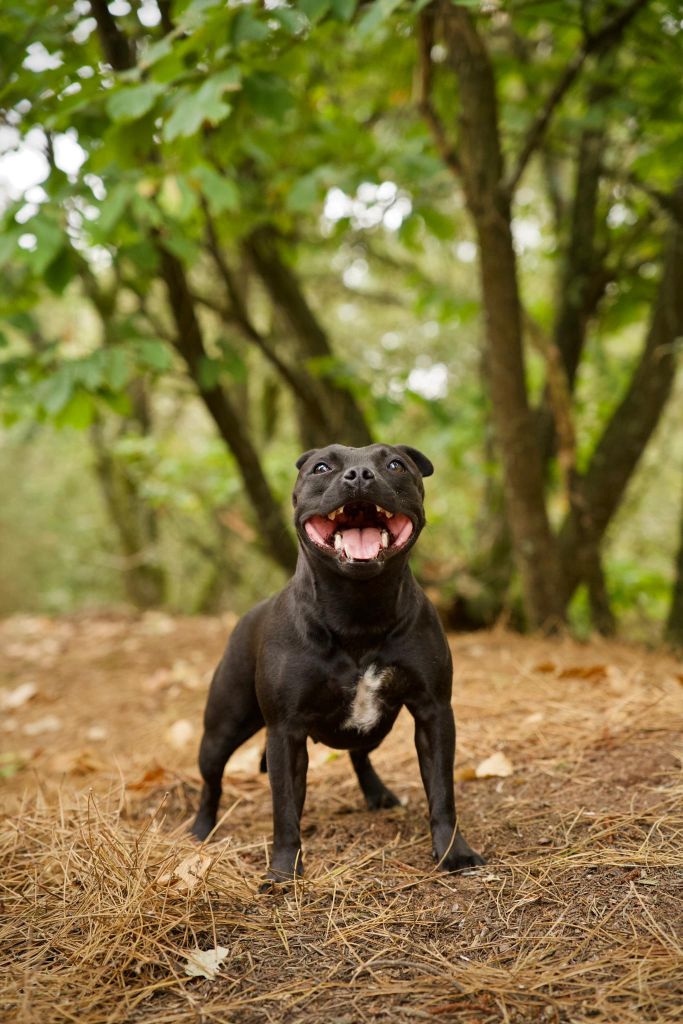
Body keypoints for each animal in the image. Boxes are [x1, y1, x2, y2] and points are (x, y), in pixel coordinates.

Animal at [189, 444, 483, 884]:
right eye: (321, 467)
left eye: (395, 464)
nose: (359, 475)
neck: (357, 609)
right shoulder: (285, 732)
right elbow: (284, 809)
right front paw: (283, 871)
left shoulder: (434, 713)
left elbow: (442, 792)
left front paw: (453, 852)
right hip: (222, 729)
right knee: (212, 781)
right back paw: (201, 830)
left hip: (377, 725)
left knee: (360, 753)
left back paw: (378, 793)